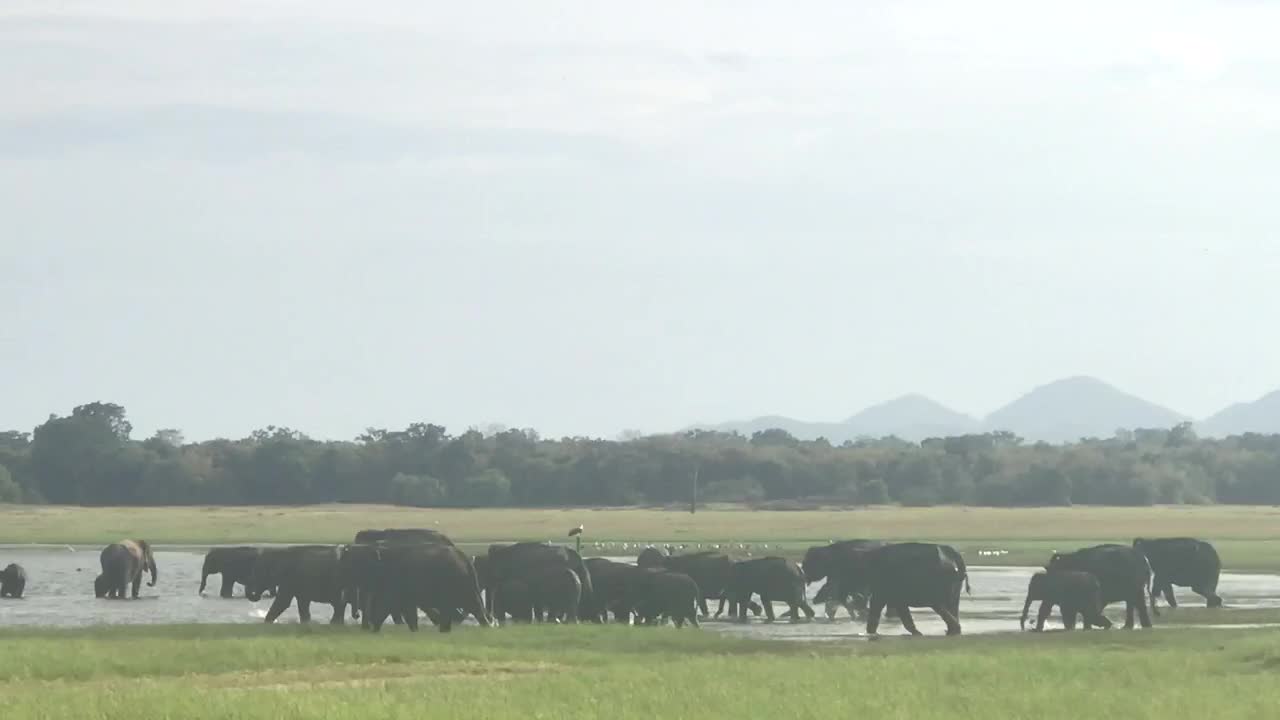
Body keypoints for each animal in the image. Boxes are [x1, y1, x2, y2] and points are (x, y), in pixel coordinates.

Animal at [345, 540, 488, 630]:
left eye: (359, 567)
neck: (381, 551)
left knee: (469, 604)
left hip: (454, 580)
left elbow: (390, 603)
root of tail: (466, 559)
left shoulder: (397, 580)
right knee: (470, 605)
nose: (357, 616)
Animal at [834, 540, 962, 635]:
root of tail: (954, 554)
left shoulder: (882, 582)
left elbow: (878, 605)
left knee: (939, 605)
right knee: (951, 606)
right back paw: (952, 631)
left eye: (845, 572)